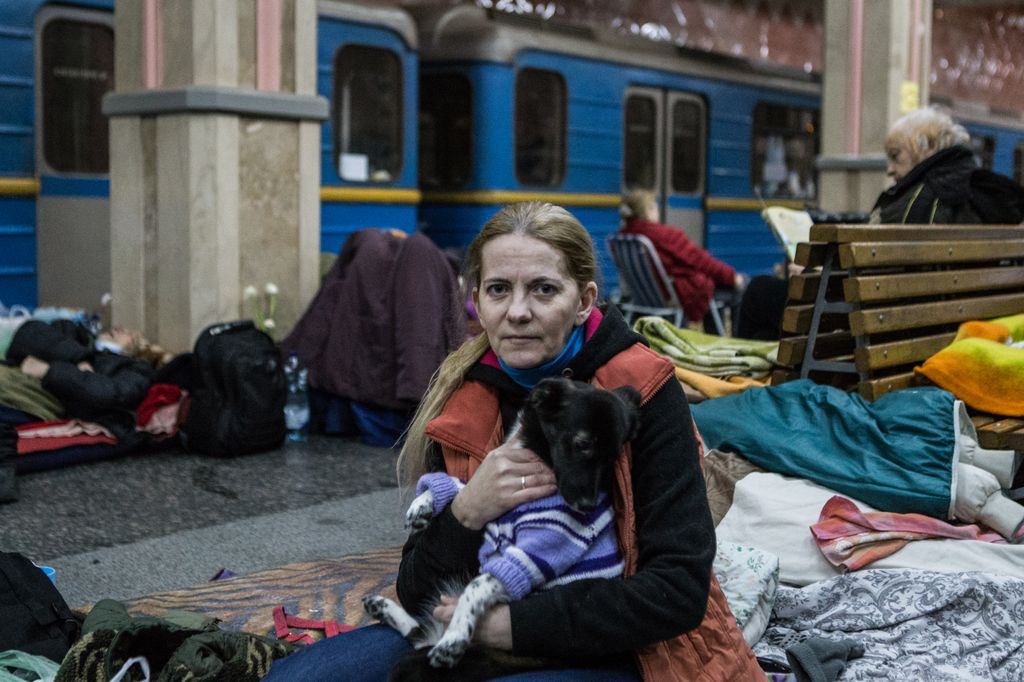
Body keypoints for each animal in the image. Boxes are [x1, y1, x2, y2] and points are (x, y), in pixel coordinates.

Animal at [364, 376, 643, 679]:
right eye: (582, 444)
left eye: (614, 457)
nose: (588, 506)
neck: (536, 453)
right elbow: (462, 486)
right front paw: (424, 503)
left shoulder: (537, 553)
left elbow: (477, 585)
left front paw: (455, 637)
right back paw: (381, 607)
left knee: (417, 649)